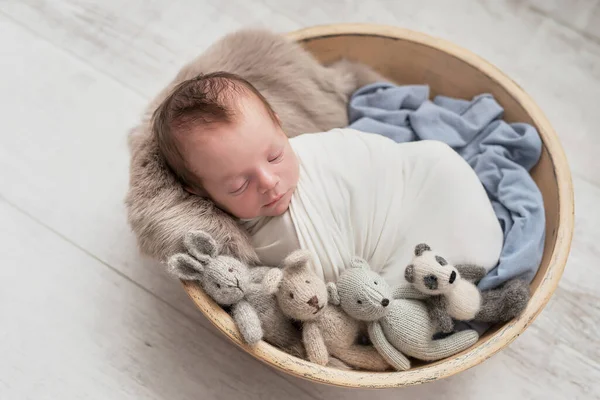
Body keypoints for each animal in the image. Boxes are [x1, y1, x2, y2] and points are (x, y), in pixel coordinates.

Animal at [166, 230, 304, 358]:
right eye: (218, 285)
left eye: (230, 269)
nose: (234, 283)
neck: (245, 293)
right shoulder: (240, 306)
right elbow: (248, 322)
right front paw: (254, 336)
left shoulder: (251, 277)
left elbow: (264, 272)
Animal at [264, 250, 392, 372]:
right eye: (291, 296)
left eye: (307, 281)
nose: (313, 300)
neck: (322, 313)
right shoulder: (311, 326)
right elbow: (317, 351)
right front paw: (321, 360)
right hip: (346, 352)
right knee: (364, 358)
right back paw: (382, 360)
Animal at [328, 258, 478, 370]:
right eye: (359, 301)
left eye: (375, 282)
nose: (384, 301)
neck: (387, 313)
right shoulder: (374, 326)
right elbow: (384, 347)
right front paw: (404, 365)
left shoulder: (394, 293)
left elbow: (411, 290)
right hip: (425, 347)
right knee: (444, 348)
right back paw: (470, 336)